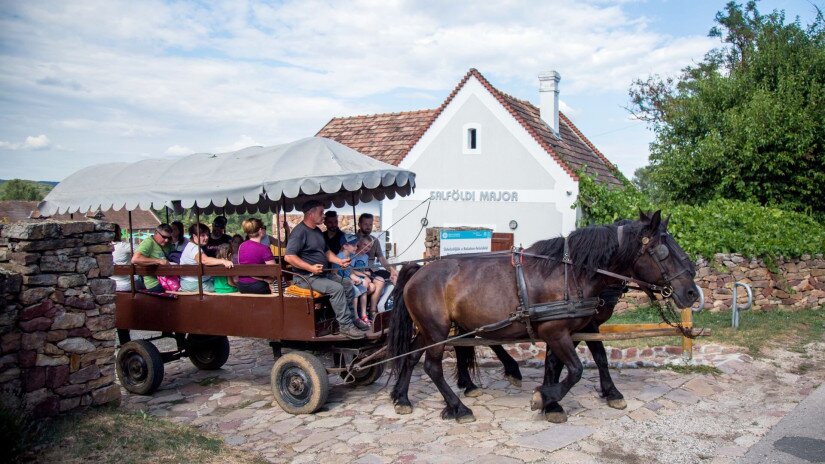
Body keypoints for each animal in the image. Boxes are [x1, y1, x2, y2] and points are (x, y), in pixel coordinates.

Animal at [386, 212, 696, 422]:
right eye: (663, 251)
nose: (692, 292)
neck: (572, 273)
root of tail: (419, 270)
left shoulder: (572, 330)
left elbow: (572, 363)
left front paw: (554, 401)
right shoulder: (556, 332)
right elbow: (575, 369)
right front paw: (546, 398)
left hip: (430, 330)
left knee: (412, 357)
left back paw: (402, 397)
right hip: (437, 331)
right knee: (432, 367)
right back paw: (458, 407)